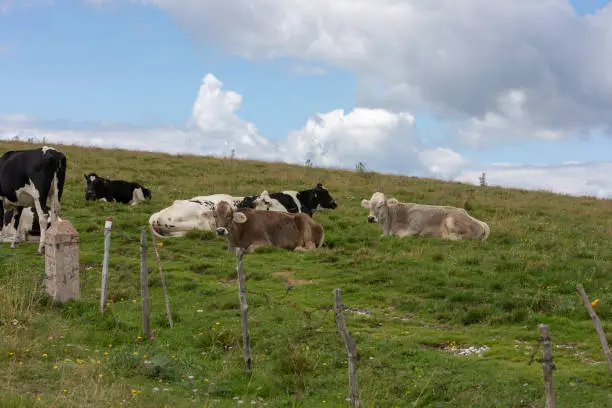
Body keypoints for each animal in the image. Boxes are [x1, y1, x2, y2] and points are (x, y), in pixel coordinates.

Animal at [360, 192, 490, 241]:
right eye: (370, 205)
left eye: (381, 205)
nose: (370, 218)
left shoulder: (415, 228)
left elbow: (399, 235)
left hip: (452, 221)